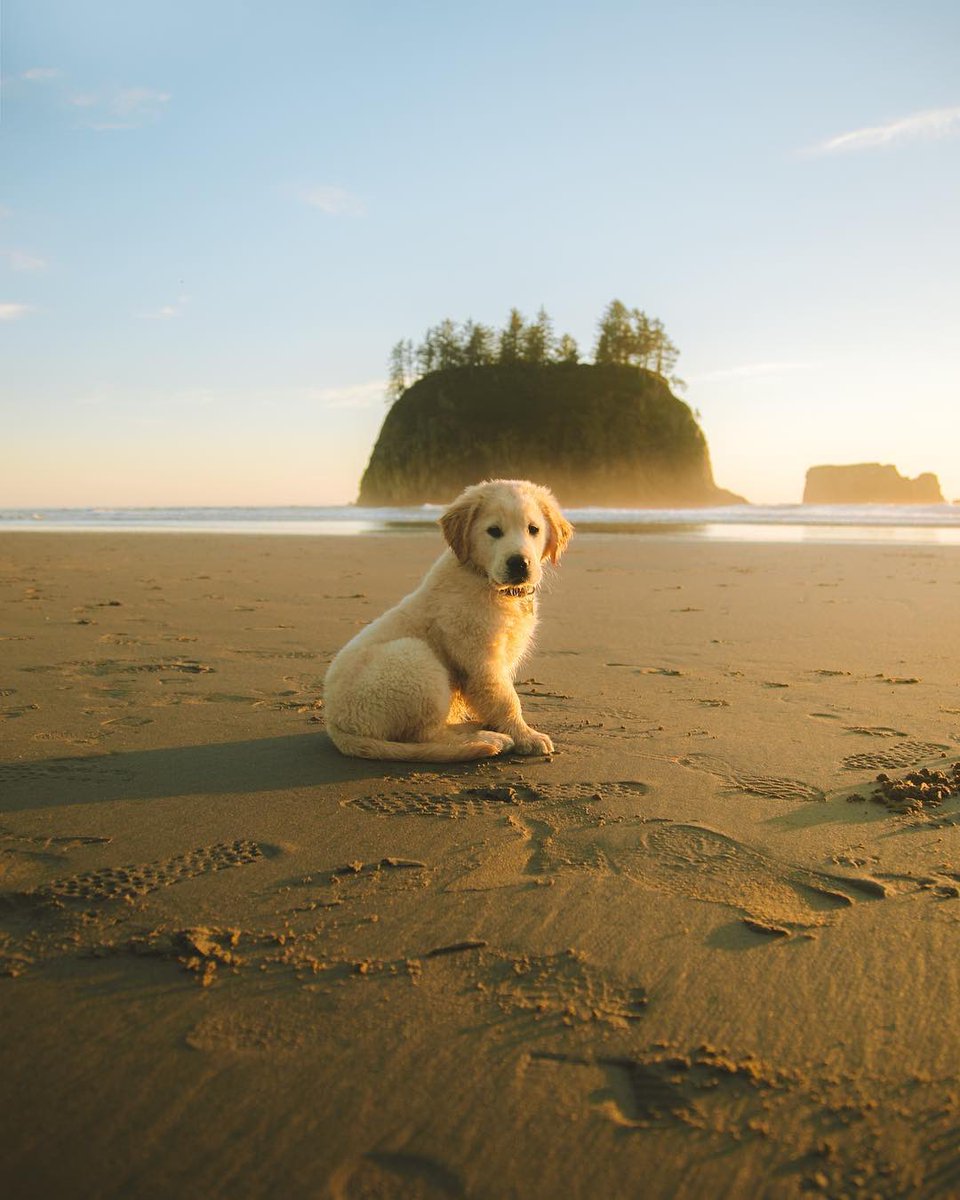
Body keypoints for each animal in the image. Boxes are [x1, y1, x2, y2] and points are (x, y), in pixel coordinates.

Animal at [326, 477, 573, 758]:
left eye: (533, 529)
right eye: (494, 531)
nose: (519, 563)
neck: (483, 579)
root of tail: (336, 726)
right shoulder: (481, 659)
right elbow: (506, 699)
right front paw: (526, 736)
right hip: (413, 659)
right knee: (426, 736)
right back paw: (488, 738)